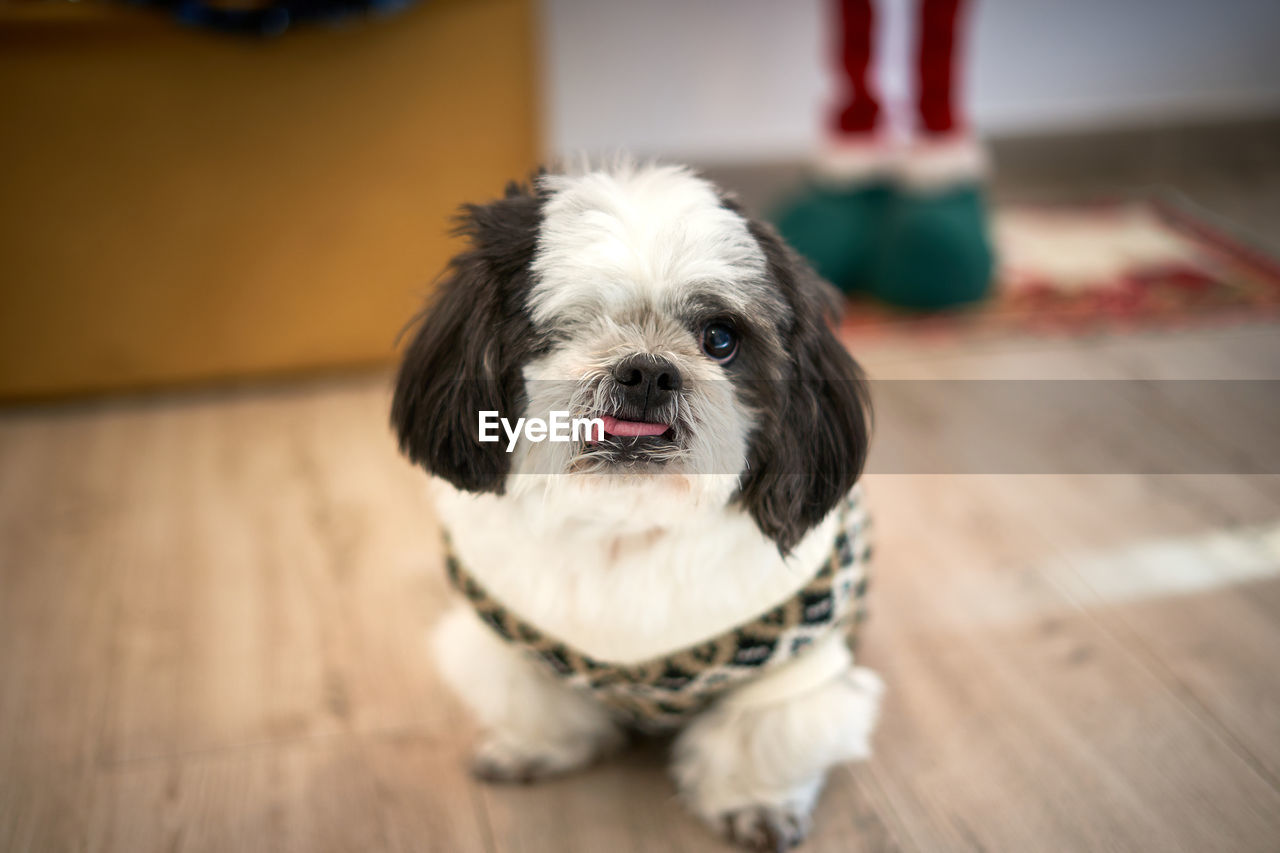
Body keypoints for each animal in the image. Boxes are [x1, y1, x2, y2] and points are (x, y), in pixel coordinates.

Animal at [394, 162, 885, 845]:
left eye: (721, 339)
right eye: (572, 324)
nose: (649, 370)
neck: (624, 522)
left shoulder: (790, 675)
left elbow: (763, 740)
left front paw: (755, 803)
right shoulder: (510, 646)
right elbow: (534, 699)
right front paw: (532, 748)